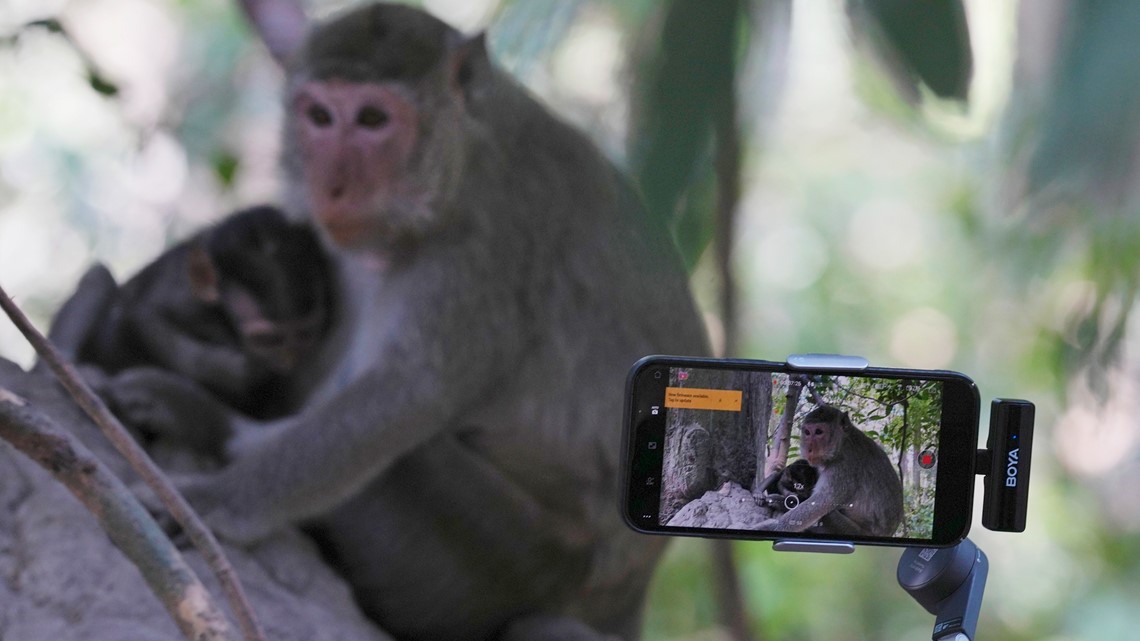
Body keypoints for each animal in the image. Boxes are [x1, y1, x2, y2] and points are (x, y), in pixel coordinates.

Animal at [102, 3, 709, 640]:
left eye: (373, 119)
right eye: (320, 116)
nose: (332, 187)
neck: (462, 159)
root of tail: (631, 593)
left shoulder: (489, 238)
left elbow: (412, 392)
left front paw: (217, 502)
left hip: (517, 557)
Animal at [755, 405, 903, 537]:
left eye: (819, 432)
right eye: (807, 432)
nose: (809, 449)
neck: (843, 443)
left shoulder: (843, 468)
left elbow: (819, 504)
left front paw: (771, 527)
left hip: (848, 530)